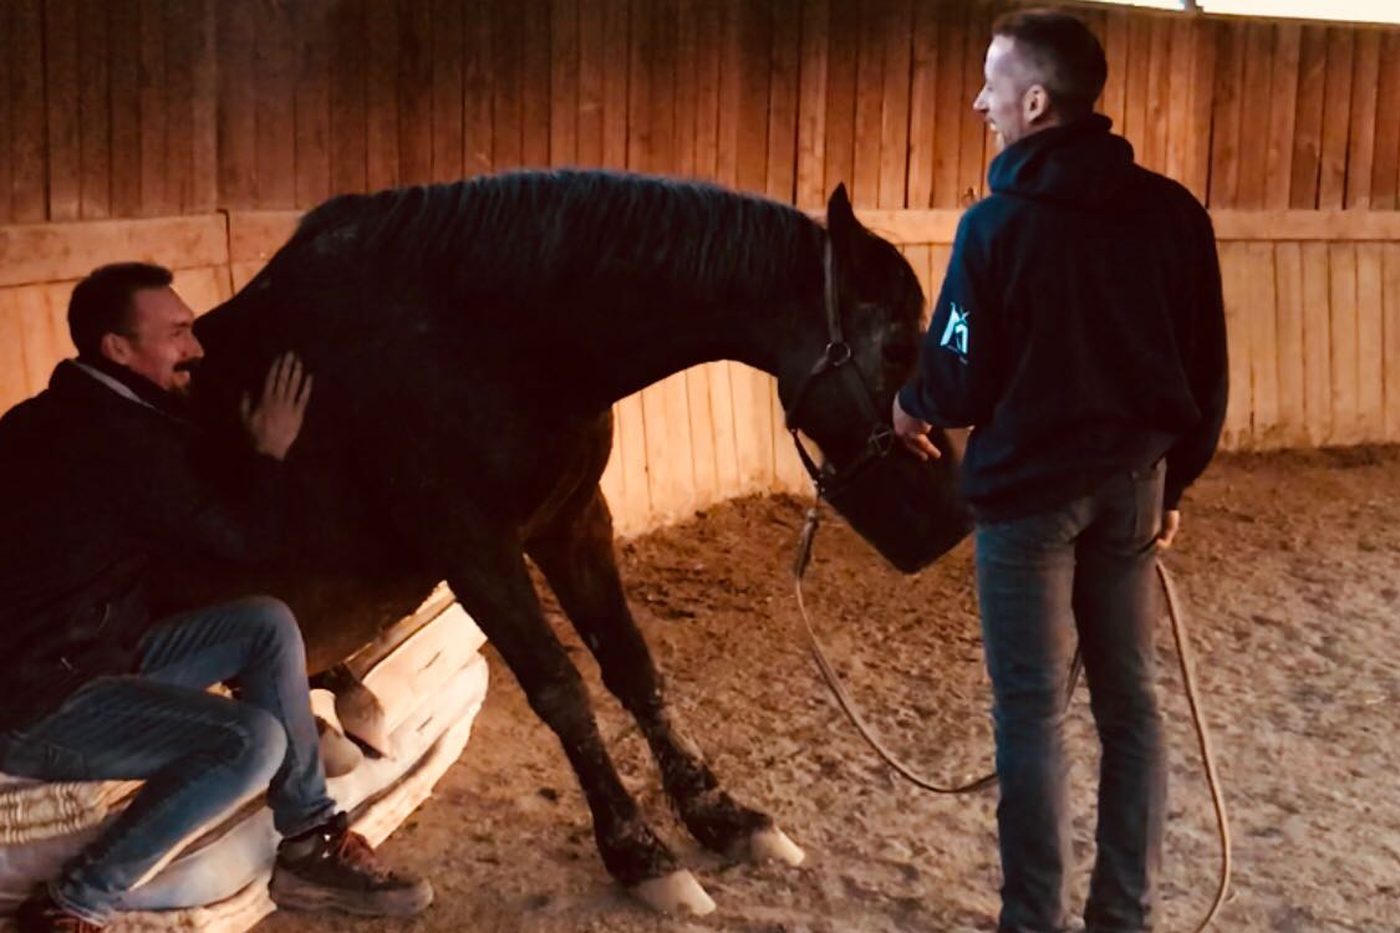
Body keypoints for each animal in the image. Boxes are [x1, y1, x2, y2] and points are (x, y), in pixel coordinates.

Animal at [178, 170, 970, 913]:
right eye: (899, 345)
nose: (952, 517)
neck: (486, 337)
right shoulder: (477, 550)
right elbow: (562, 689)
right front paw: (639, 852)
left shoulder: (574, 520)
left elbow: (633, 666)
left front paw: (722, 816)